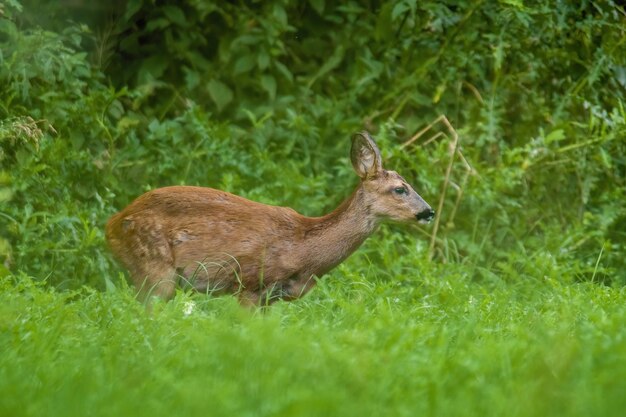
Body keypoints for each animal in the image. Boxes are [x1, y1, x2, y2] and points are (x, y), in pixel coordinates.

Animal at [105, 132, 432, 308]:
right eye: (400, 189)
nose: (428, 212)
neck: (303, 249)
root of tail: (112, 225)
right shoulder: (249, 284)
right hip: (155, 269)